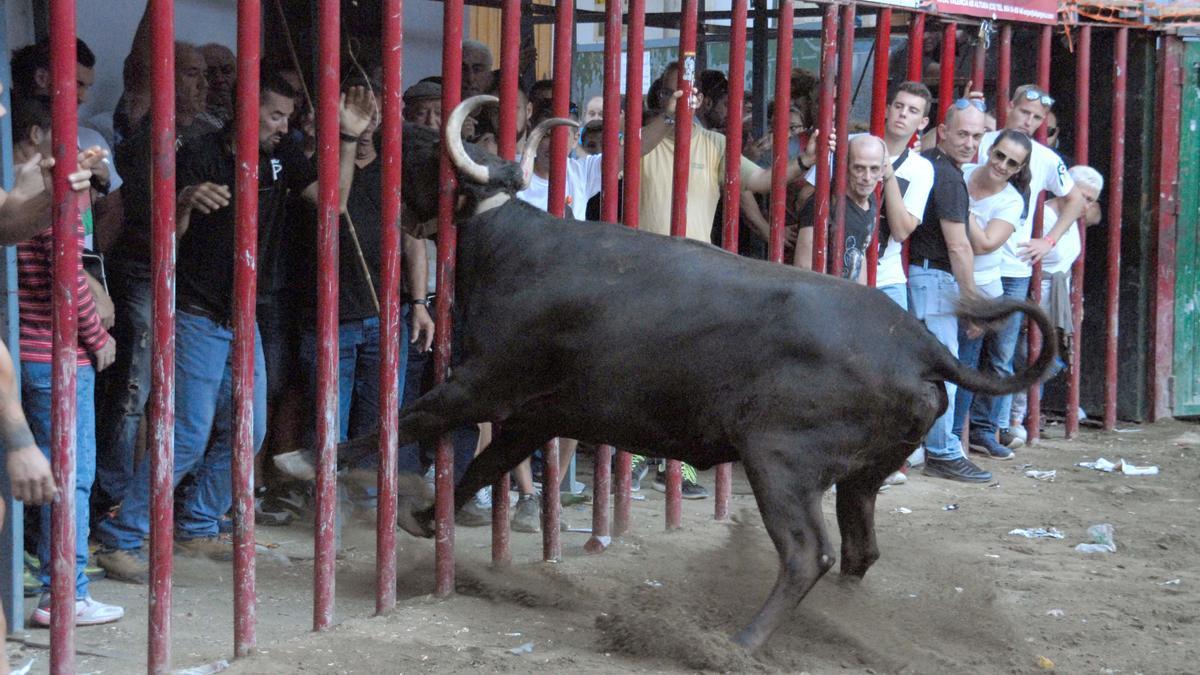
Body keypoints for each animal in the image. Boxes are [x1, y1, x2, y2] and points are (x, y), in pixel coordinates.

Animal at [326, 117, 1051, 648]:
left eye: (434, 152)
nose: (384, 139)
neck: (514, 247)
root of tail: (924, 346)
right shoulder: (534, 416)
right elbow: (479, 466)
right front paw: (422, 516)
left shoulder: (482, 386)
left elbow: (404, 420)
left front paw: (310, 462)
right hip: (861, 478)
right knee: (858, 549)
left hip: (780, 463)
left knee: (806, 554)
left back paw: (741, 640)